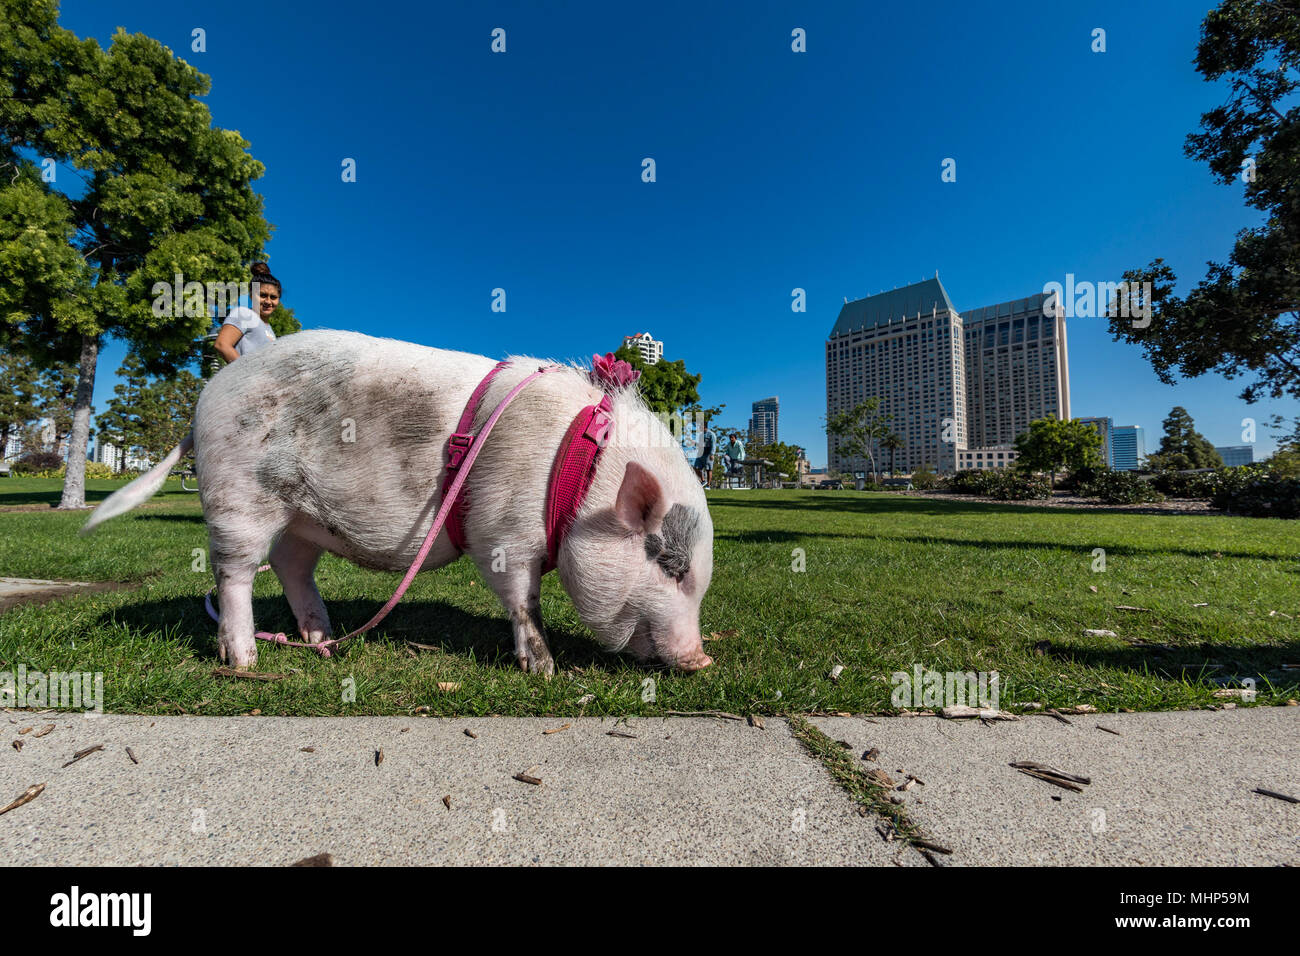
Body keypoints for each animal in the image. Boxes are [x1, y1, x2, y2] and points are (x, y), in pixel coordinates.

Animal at [82, 330, 714, 675]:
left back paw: (321, 641)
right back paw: (244, 661)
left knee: (290, 566)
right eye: (673, 568)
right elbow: (524, 602)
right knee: (234, 572)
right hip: (241, 496)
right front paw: (545, 670)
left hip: (300, 517)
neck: (579, 478)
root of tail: (203, 400)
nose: (701, 659)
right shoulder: (504, 533)